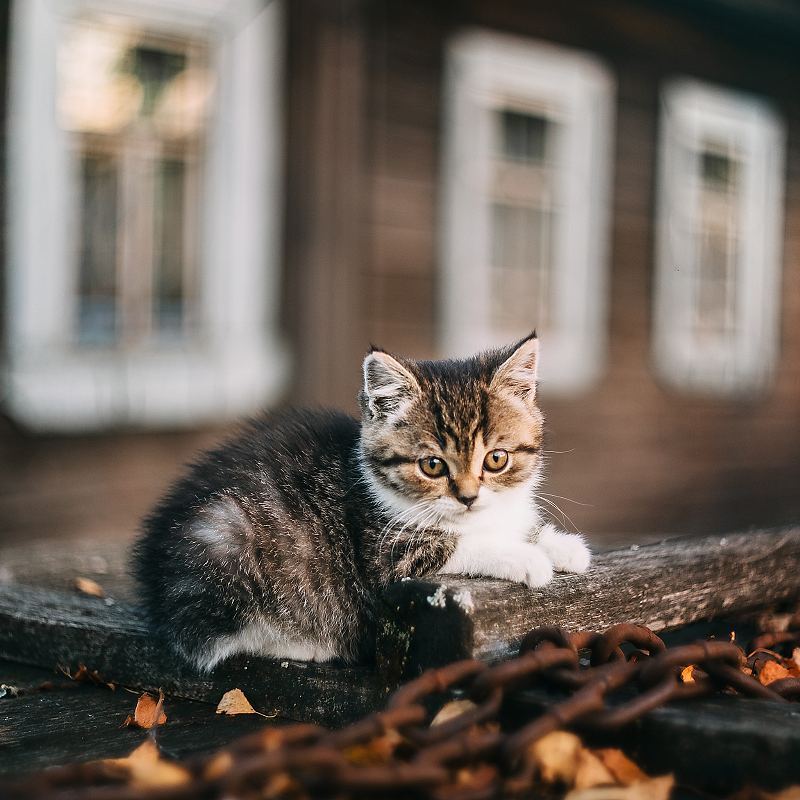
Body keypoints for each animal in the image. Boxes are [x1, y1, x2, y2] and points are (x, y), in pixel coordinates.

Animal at [134, 334, 592, 672]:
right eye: (432, 466)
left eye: (496, 459)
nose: (468, 497)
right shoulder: (384, 555)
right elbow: (457, 545)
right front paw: (524, 557)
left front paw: (561, 545)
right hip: (224, 536)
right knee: (205, 640)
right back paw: (306, 644)